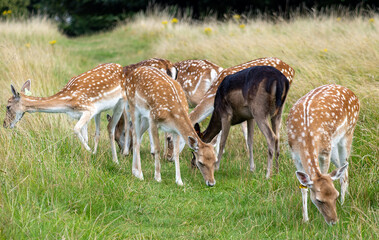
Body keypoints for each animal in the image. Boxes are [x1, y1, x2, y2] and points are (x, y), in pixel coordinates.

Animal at [288, 84, 362, 225]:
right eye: (319, 200)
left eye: (335, 196)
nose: (333, 221)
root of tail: (352, 93)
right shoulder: (295, 156)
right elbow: (303, 187)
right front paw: (305, 219)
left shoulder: (324, 152)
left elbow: (324, 173)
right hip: (333, 146)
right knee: (342, 169)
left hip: (348, 133)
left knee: (344, 170)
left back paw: (344, 203)